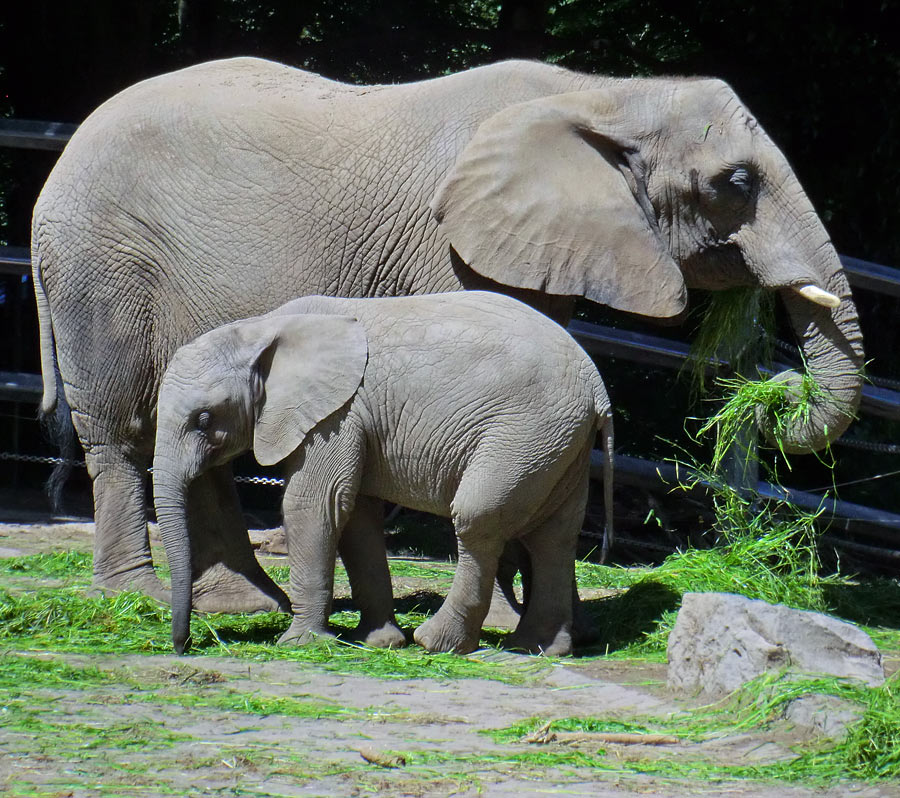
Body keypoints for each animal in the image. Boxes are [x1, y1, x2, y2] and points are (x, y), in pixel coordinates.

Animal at [33, 57, 864, 612]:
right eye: (737, 183)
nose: (776, 387)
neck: (604, 91)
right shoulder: (457, 244)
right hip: (100, 267)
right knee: (123, 429)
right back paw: (139, 595)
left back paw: (248, 603)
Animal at [153, 292, 612, 656]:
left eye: (204, 419)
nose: (184, 645)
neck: (262, 330)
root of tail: (597, 387)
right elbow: (355, 516)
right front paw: (376, 642)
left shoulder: (336, 415)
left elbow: (315, 505)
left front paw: (301, 645)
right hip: (559, 444)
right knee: (554, 535)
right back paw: (539, 649)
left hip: (525, 434)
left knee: (477, 519)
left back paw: (438, 643)